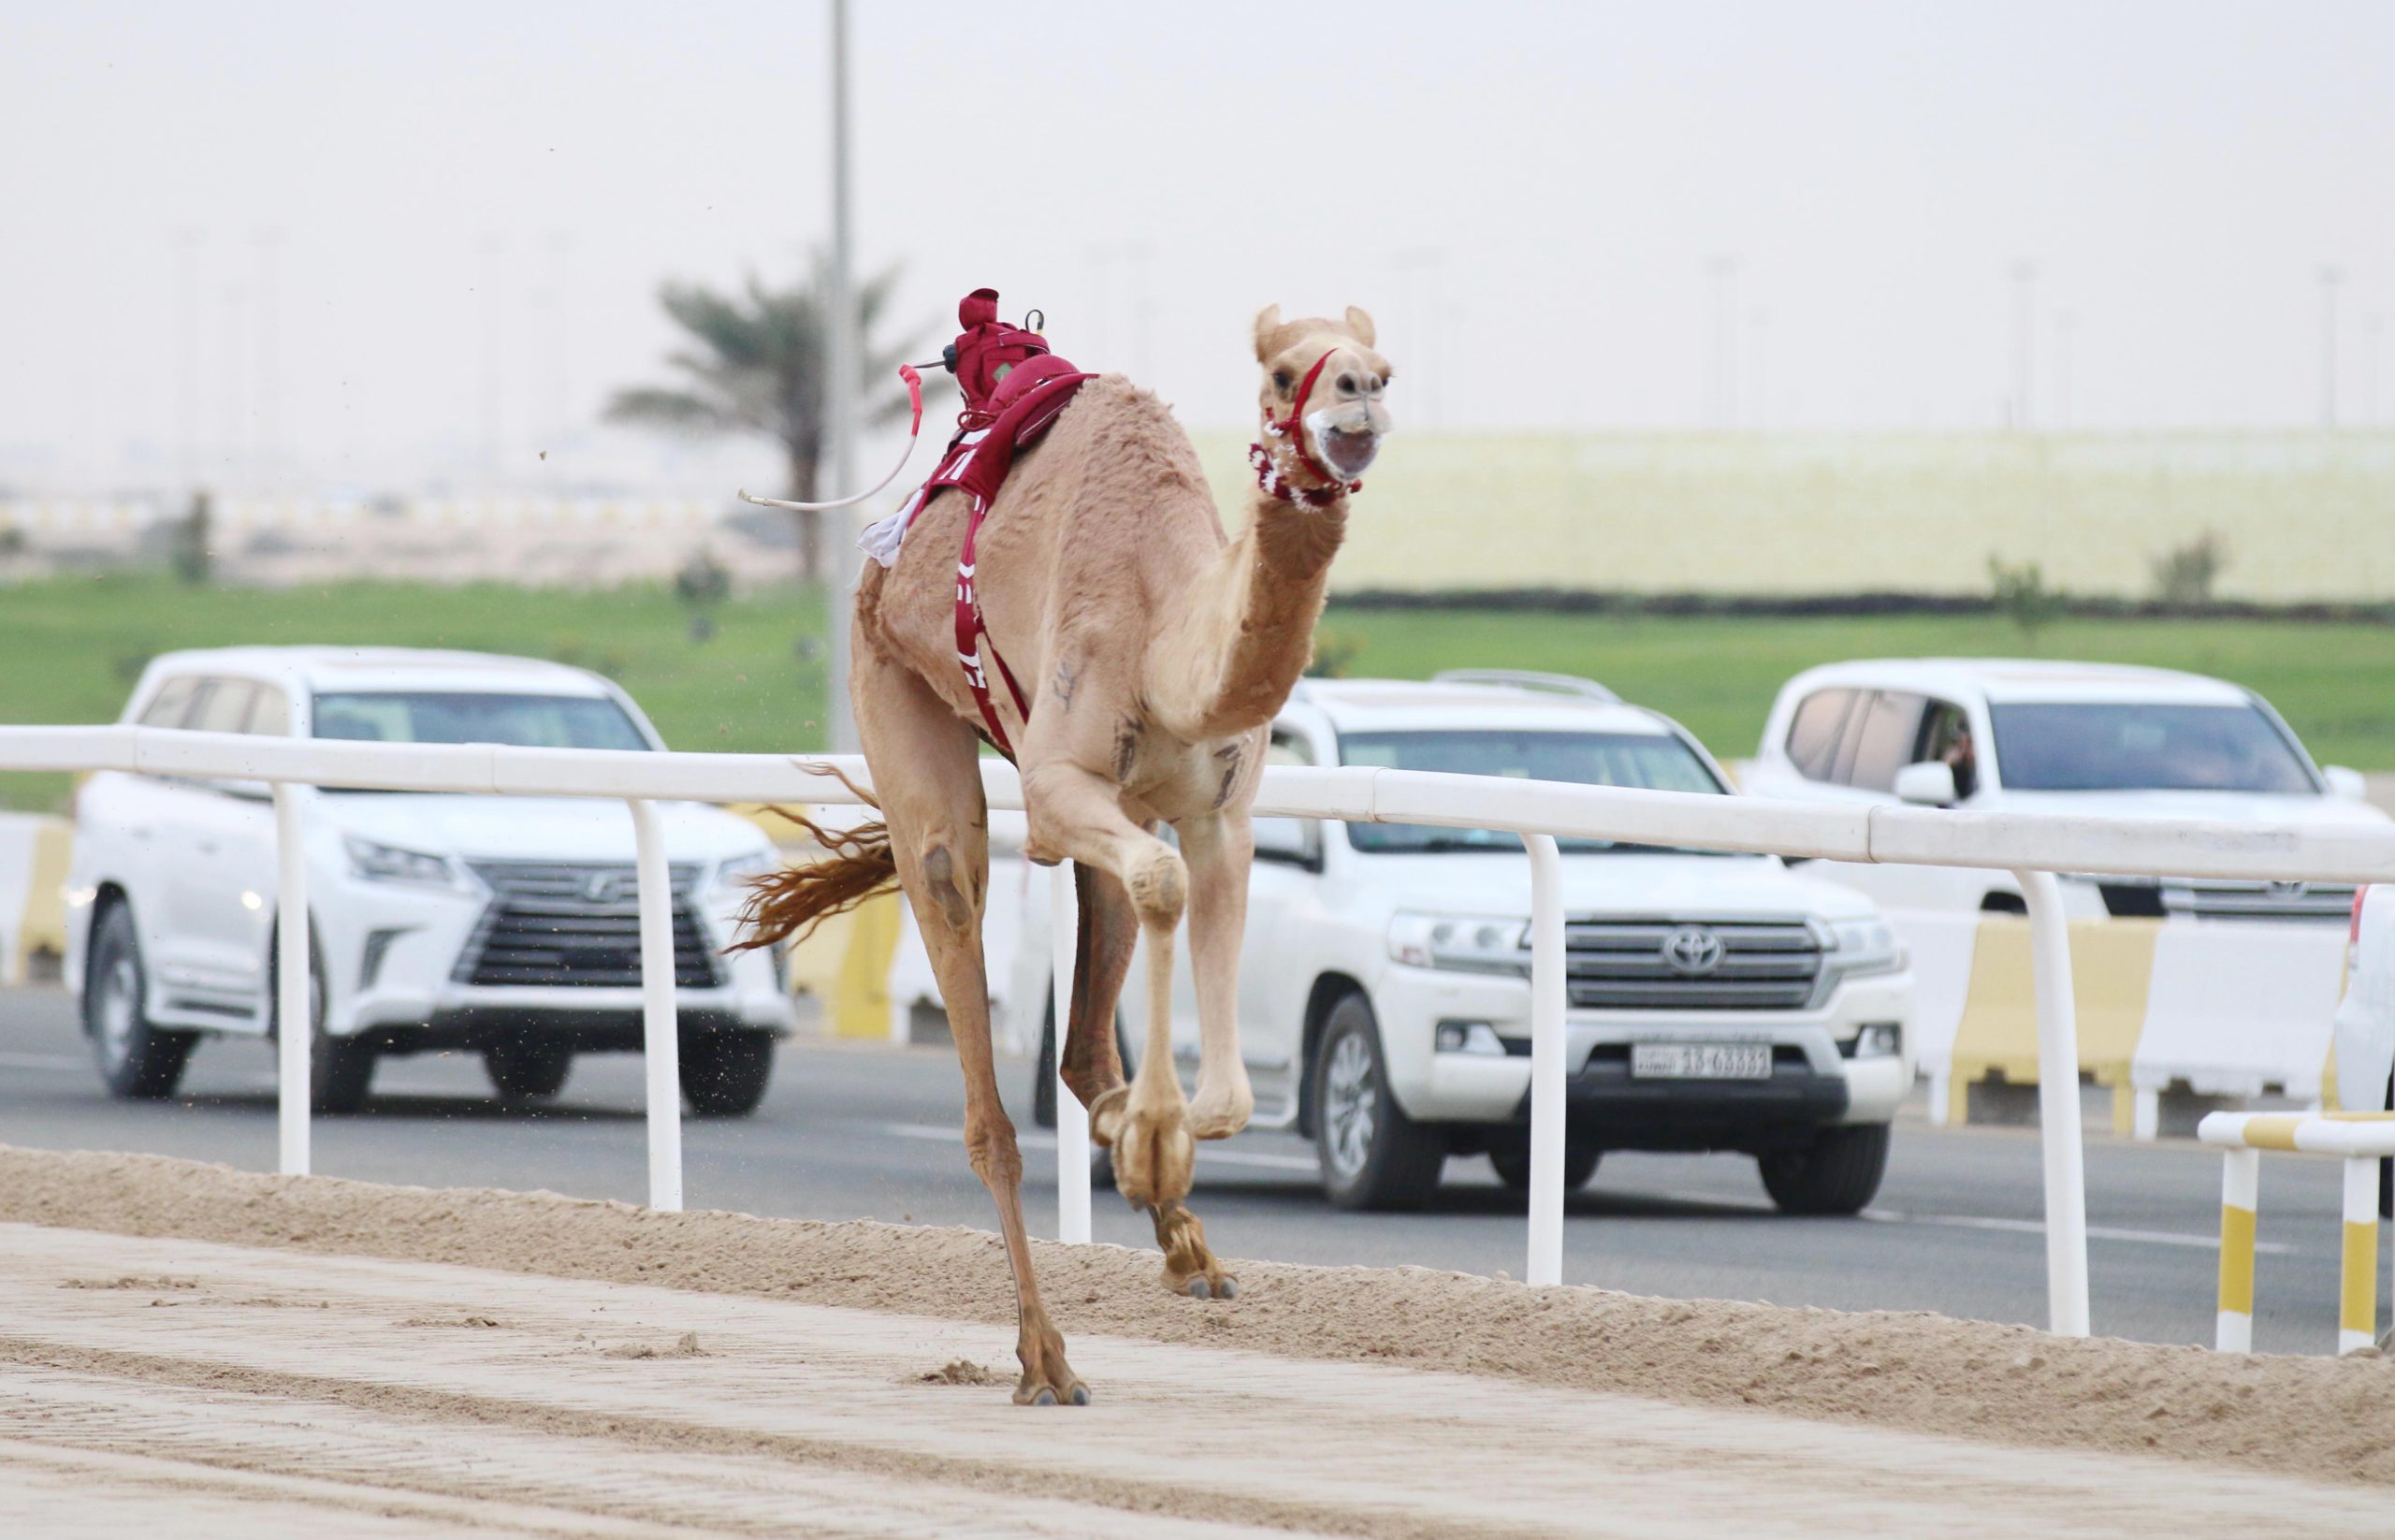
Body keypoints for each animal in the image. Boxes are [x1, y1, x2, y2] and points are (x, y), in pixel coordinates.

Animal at [737, 292, 1399, 1408]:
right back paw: (1045, 1356)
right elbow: (1161, 880)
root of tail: (879, 559)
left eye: (1381, 368)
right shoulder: (1055, 784)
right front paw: (1151, 1143)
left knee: (1088, 1032)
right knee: (980, 1061)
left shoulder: (1221, 808)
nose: (1352, 403)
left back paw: (1183, 1241)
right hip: (896, 692)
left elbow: (1224, 1069)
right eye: (1280, 372)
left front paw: (1159, 1154)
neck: (1167, 624)